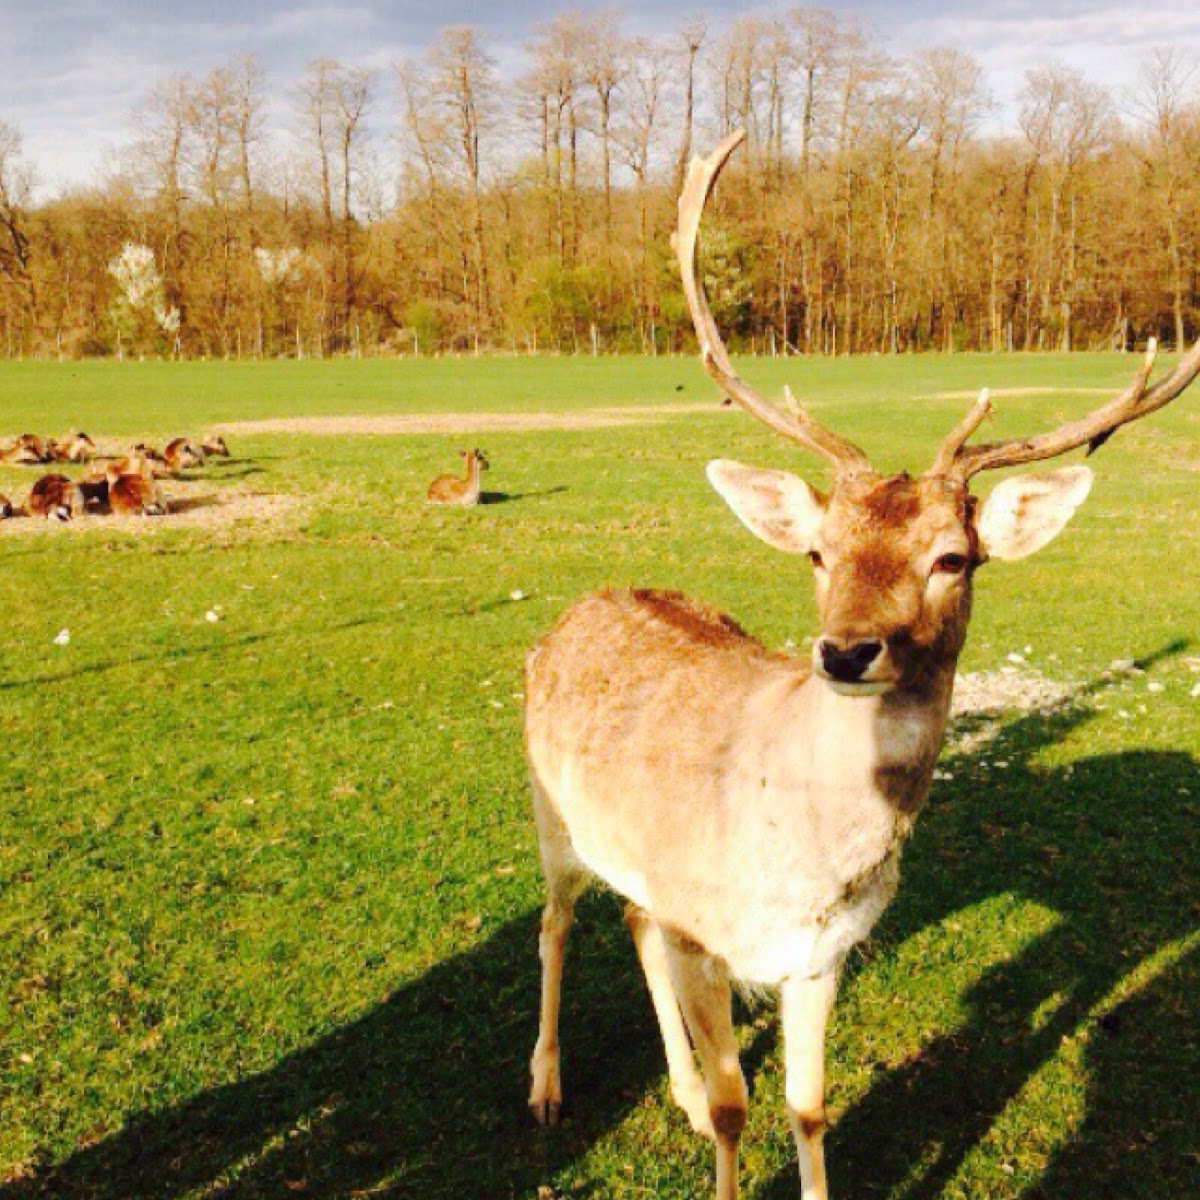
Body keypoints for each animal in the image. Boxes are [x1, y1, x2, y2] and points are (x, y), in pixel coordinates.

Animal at [523, 131, 1200, 1200]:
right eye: (817, 551)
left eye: (953, 558)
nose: (845, 650)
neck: (801, 864)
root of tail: (581, 604)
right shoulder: (706, 935)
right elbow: (739, 1109)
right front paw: (712, 1120)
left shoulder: (821, 955)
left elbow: (806, 1105)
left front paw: (748, 1121)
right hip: (551, 812)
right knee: (555, 924)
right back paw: (547, 1089)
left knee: (629, 923)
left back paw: (671, 1090)